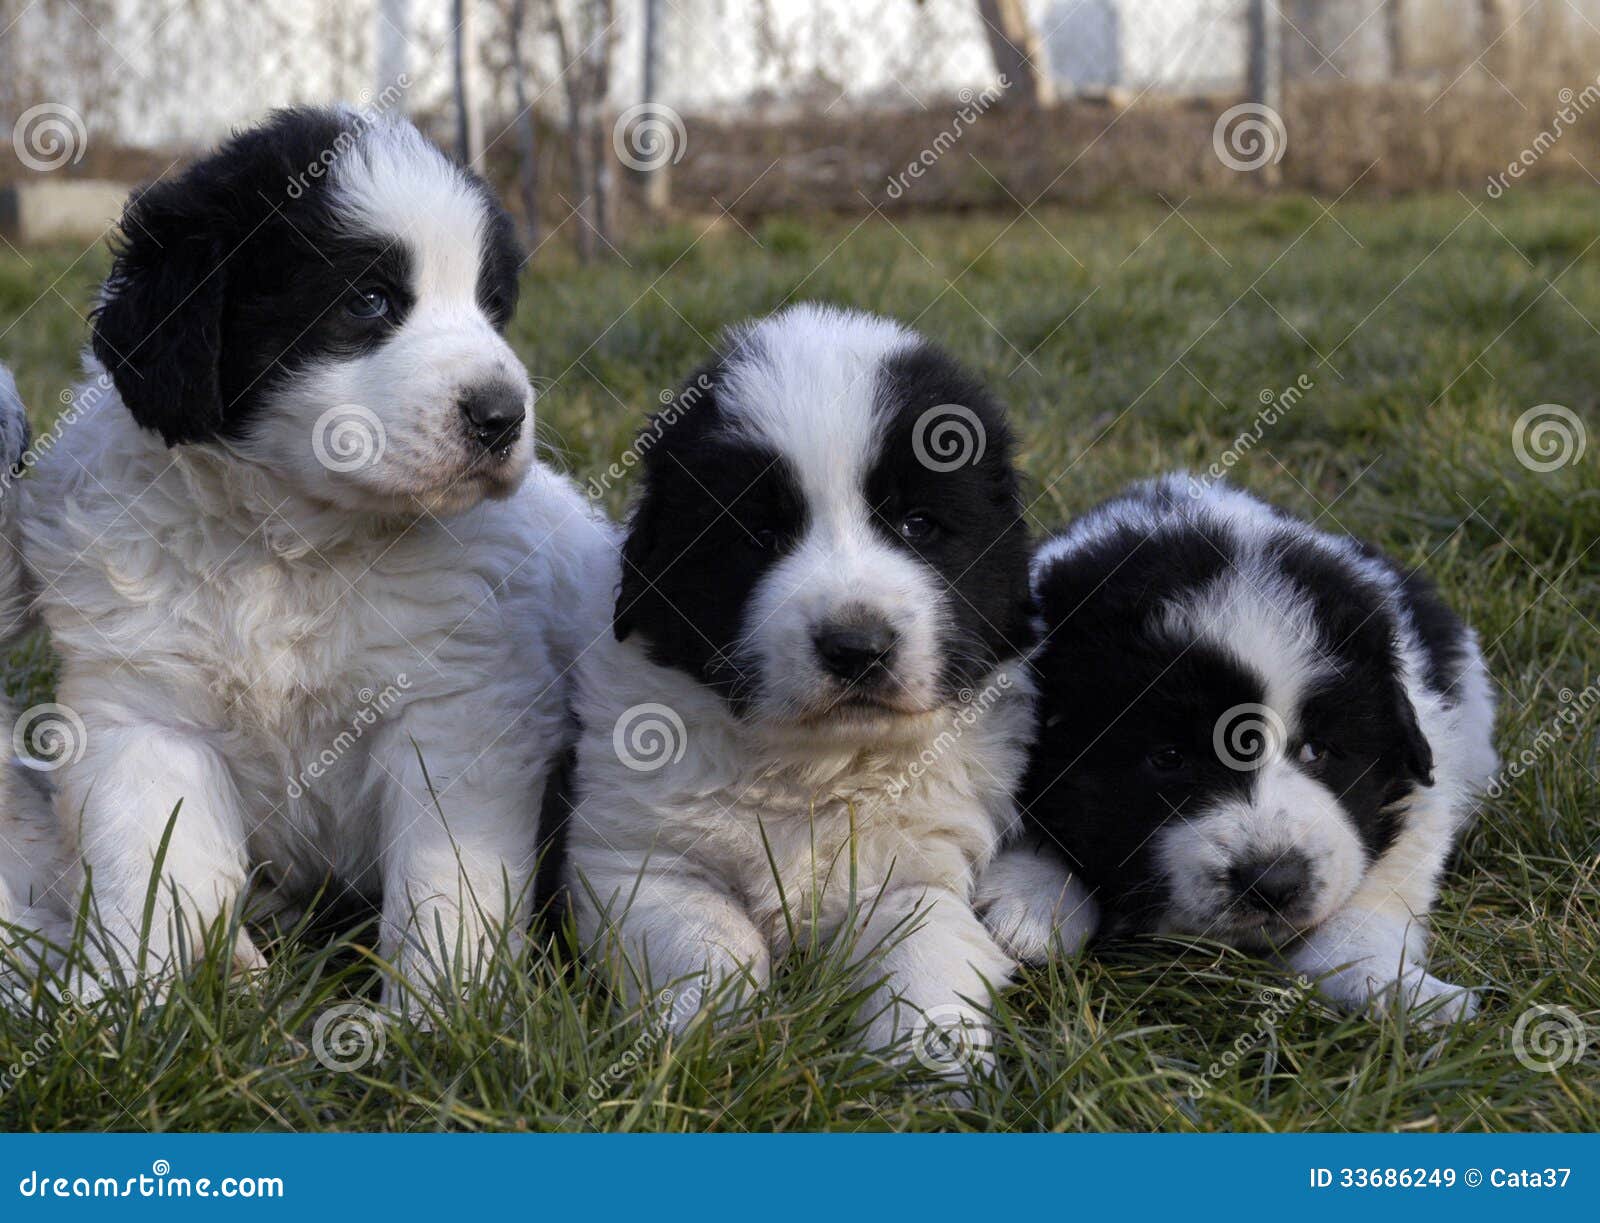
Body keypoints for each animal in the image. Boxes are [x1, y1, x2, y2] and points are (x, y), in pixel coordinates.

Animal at [21, 107, 614, 1005]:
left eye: (492, 305)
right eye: (368, 301)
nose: (502, 414)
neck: (291, 546)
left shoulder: (456, 710)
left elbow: (448, 876)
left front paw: (441, 1008)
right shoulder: (145, 713)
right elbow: (147, 871)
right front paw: (126, 1003)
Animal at [566, 305, 1036, 1069]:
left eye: (918, 524)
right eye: (758, 534)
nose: (857, 646)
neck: (814, 769)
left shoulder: (925, 860)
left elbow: (922, 942)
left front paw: (930, 1064)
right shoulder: (637, 857)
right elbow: (707, 935)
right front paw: (709, 1044)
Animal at [972, 473, 1497, 1018]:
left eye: (1316, 751)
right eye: (1169, 757)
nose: (1273, 882)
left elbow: (1373, 895)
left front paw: (1402, 992)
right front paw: (1029, 903)